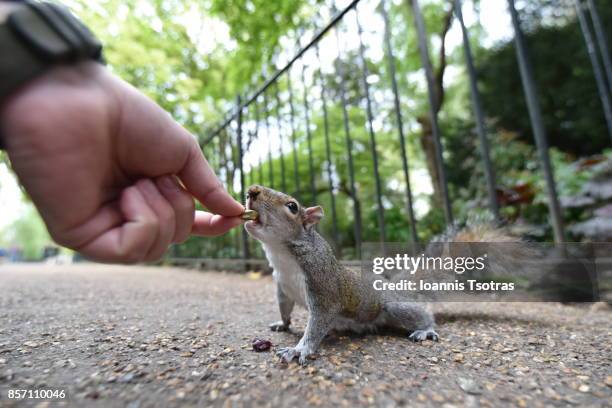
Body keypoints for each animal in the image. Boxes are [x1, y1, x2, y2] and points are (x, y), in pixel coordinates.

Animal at [244, 185, 440, 364]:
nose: (251, 191)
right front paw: (282, 324)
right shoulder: (283, 287)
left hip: (393, 306)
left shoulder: (323, 285)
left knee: (419, 314)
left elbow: (317, 324)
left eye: (292, 206)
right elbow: (284, 307)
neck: (281, 254)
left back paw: (426, 329)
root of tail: (393, 287)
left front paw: (299, 350)